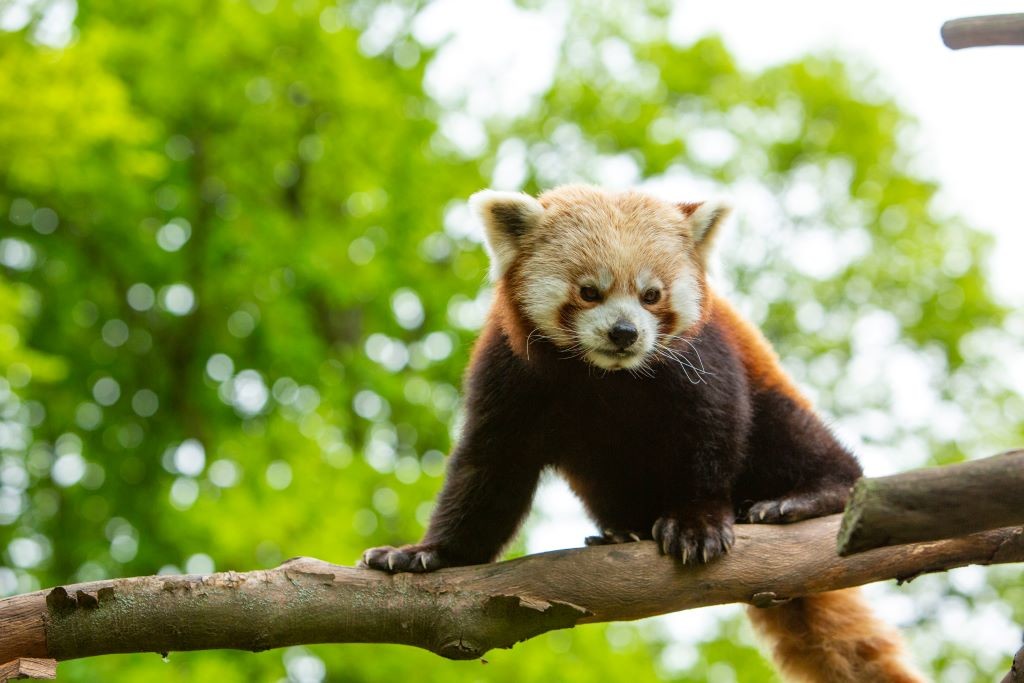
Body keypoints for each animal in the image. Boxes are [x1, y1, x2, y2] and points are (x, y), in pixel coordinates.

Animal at [364, 184, 925, 679]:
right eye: (589, 292)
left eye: (651, 295)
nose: (624, 332)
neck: (607, 378)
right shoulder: (510, 373)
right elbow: (489, 469)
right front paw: (428, 555)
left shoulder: (705, 360)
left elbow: (714, 436)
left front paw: (695, 524)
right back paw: (622, 531)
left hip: (776, 403)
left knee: (798, 440)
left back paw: (806, 496)